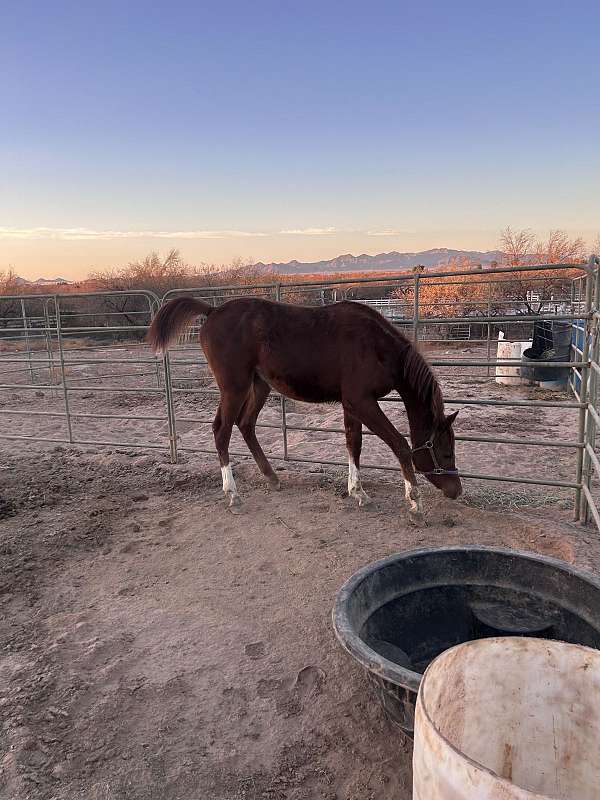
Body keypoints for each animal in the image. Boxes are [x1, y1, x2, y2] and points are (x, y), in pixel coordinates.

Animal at [148, 296, 462, 520]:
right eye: (446, 452)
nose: (456, 490)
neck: (375, 345)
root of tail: (212, 310)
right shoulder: (362, 401)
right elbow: (400, 445)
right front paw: (415, 505)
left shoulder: (352, 404)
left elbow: (354, 444)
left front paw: (358, 493)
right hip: (234, 389)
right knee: (221, 432)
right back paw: (234, 496)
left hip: (259, 385)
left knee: (246, 425)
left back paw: (272, 478)